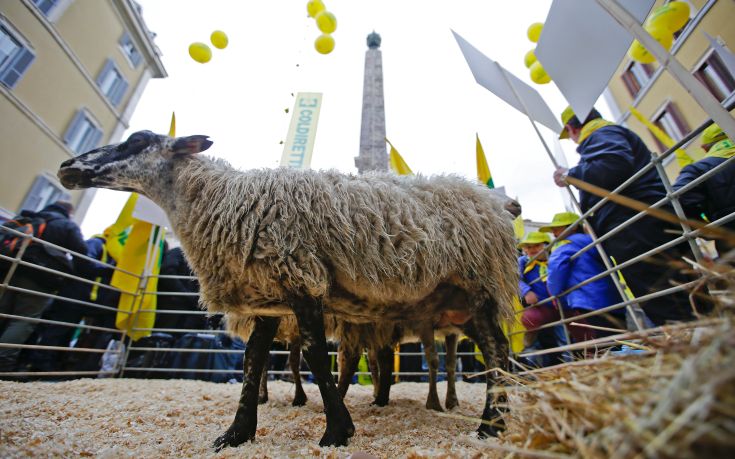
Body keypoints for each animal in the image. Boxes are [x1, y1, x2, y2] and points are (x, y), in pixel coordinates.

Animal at [56, 131, 516, 452]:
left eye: (137, 140)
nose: (66, 167)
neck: (217, 200)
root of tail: (491, 200)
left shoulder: (301, 278)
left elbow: (314, 356)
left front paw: (337, 431)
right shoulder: (268, 297)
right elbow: (252, 359)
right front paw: (236, 434)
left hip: (477, 283)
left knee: (496, 351)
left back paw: (488, 424)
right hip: (455, 303)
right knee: (495, 350)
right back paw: (495, 419)